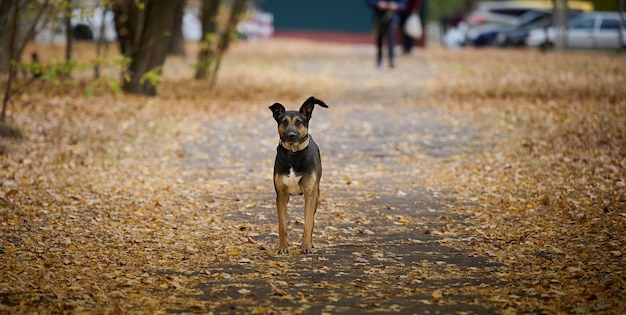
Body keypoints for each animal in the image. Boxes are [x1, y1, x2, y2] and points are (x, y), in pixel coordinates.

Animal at [266, 95, 326, 254]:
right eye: (284, 122)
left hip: (316, 195)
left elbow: (308, 223)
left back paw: (310, 243)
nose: (291, 135)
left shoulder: (310, 195)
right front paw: (283, 247)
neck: (293, 153)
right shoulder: (281, 195)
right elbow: (282, 225)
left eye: (299, 122)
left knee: (312, 220)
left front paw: (305, 247)